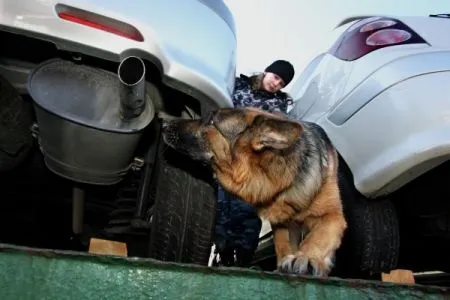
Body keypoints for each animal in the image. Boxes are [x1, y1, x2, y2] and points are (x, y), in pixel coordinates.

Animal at [162, 107, 348, 276]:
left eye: (210, 120)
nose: (163, 123)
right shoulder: (280, 223)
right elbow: (282, 244)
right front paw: (284, 261)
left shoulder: (332, 216)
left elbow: (317, 237)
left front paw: (306, 257)